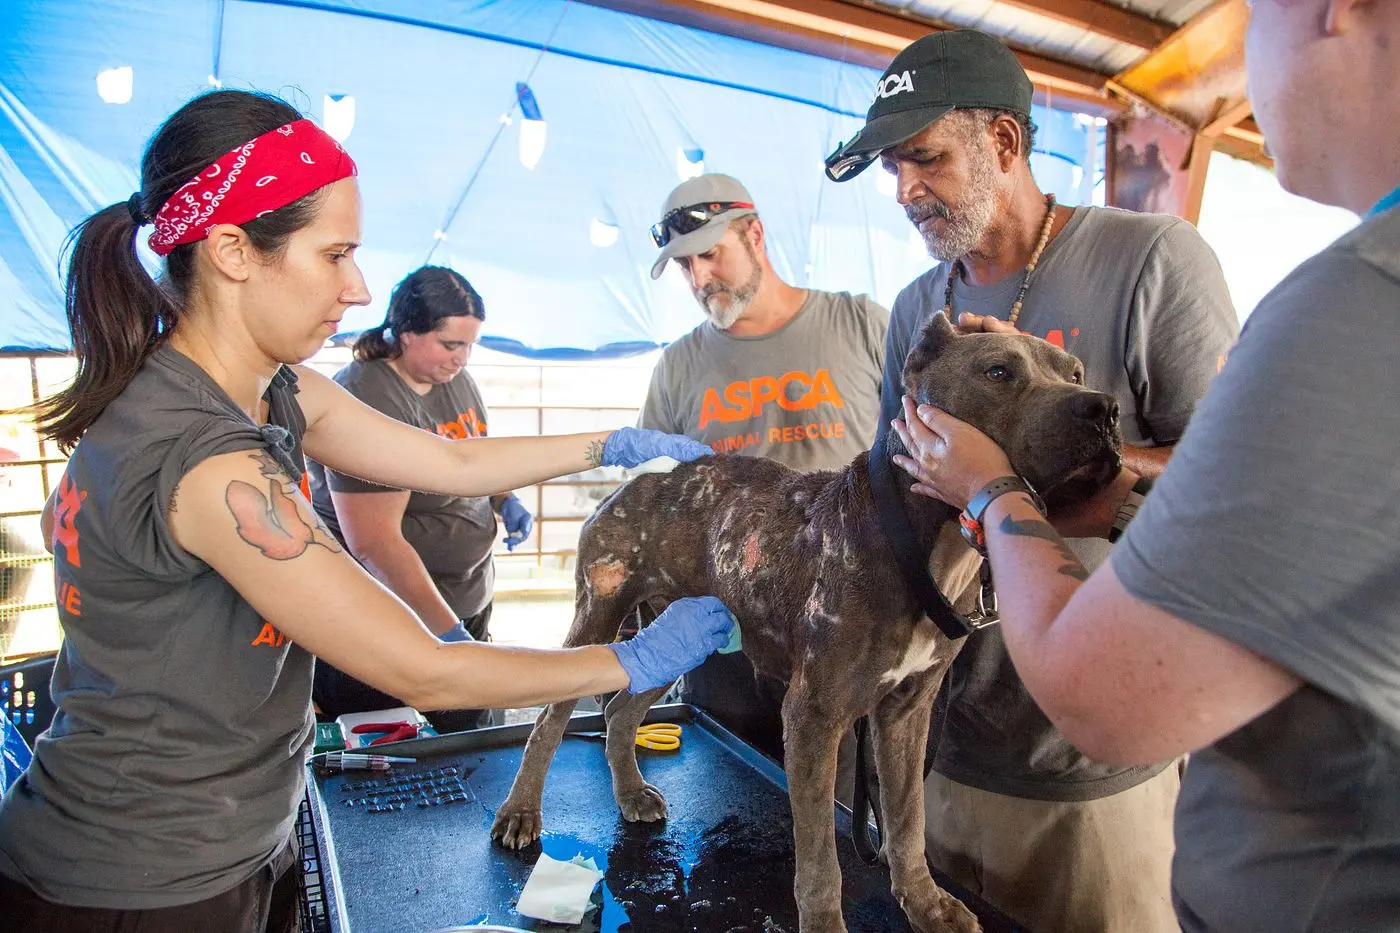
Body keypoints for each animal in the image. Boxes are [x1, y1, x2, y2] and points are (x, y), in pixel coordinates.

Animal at [492, 313, 1125, 930]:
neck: (919, 541)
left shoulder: (906, 714)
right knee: (548, 721)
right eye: (998, 372)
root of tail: (637, 481)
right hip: (598, 615)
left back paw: (628, 793)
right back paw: (521, 811)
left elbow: (908, 823)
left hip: (673, 639)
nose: (1103, 407)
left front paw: (925, 904)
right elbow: (821, 856)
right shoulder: (813, 718)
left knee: (621, 711)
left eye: (1074, 372)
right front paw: (825, 919)